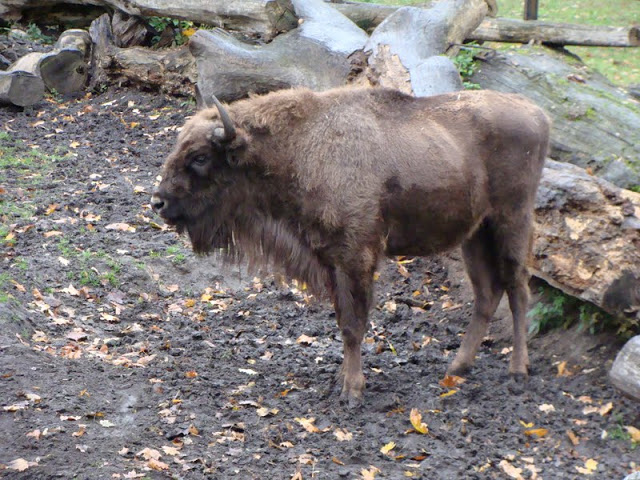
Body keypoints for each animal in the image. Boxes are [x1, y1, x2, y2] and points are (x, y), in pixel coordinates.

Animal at [151, 86, 551, 406]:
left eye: (200, 157)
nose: (158, 202)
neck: (299, 146)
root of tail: (537, 113)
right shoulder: (331, 262)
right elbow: (344, 321)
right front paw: (343, 380)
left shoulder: (356, 257)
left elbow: (354, 325)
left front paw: (353, 391)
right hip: (474, 234)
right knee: (487, 293)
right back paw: (458, 366)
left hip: (511, 221)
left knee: (517, 289)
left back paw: (517, 372)